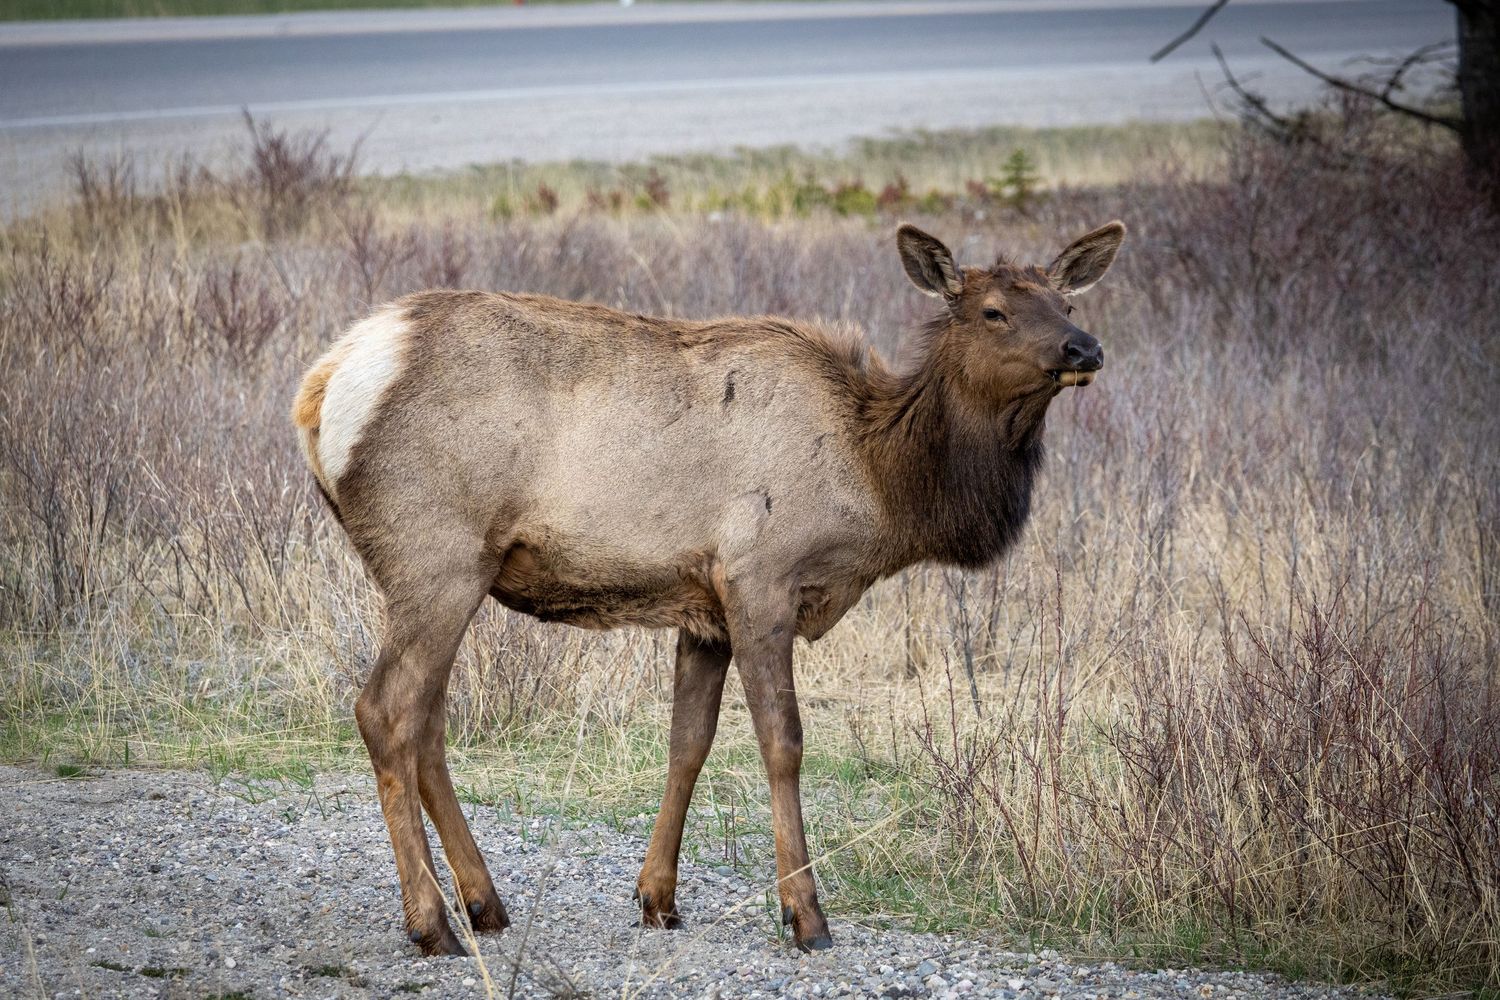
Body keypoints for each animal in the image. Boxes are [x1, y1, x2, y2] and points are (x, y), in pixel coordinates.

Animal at [290, 220, 1125, 956]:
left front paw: (658, 897)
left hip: (444, 572)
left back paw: (483, 902)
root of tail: (321, 385)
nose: (1085, 348)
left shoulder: (703, 608)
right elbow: (782, 742)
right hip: (437, 555)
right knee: (387, 710)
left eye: (1067, 303)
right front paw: (805, 916)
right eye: (993, 311)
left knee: (426, 722)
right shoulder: (760, 577)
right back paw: (432, 924)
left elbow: (687, 743)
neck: (880, 481)